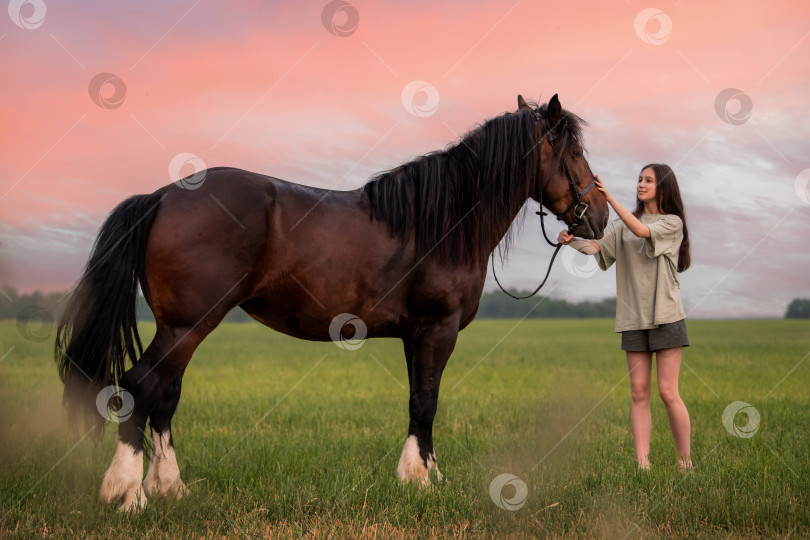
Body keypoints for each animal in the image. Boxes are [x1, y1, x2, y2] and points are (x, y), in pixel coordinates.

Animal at [55, 93, 608, 510]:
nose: (600, 216)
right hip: (187, 325)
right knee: (141, 386)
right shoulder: (437, 328)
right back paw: (127, 495)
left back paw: (170, 488)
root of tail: (162, 196)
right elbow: (427, 401)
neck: (441, 221)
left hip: (179, 327)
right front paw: (421, 482)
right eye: (575, 153)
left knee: (165, 395)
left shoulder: (414, 335)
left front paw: (424, 474)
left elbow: (418, 401)